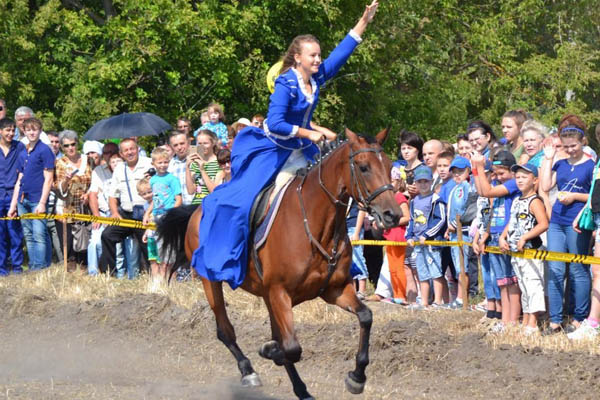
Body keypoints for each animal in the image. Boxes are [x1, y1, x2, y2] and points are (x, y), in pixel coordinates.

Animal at [159, 129, 400, 400]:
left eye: (389, 166)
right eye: (363, 167)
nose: (393, 215)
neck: (317, 225)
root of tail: (198, 209)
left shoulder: (334, 290)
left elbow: (366, 316)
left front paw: (357, 377)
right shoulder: (279, 292)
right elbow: (291, 347)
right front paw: (270, 351)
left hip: (265, 295)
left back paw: (301, 389)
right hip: (211, 281)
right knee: (225, 330)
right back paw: (249, 371)